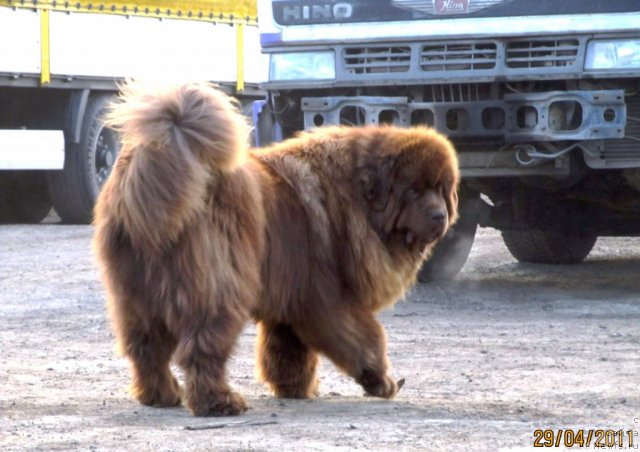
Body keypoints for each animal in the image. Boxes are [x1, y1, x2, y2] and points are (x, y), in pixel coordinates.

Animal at [92, 82, 458, 416]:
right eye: (413, 190)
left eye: (443, 190)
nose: (440, 215)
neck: (356, 198)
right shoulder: (330, 297)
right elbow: (366, 339)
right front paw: (381, 382)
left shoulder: (293, 297)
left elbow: (286, 349)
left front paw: (294, 387)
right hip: (219, 287)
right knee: (200, 348)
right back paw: (219, 402)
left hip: (135, 293)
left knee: (146, 349)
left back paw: (161, 395)